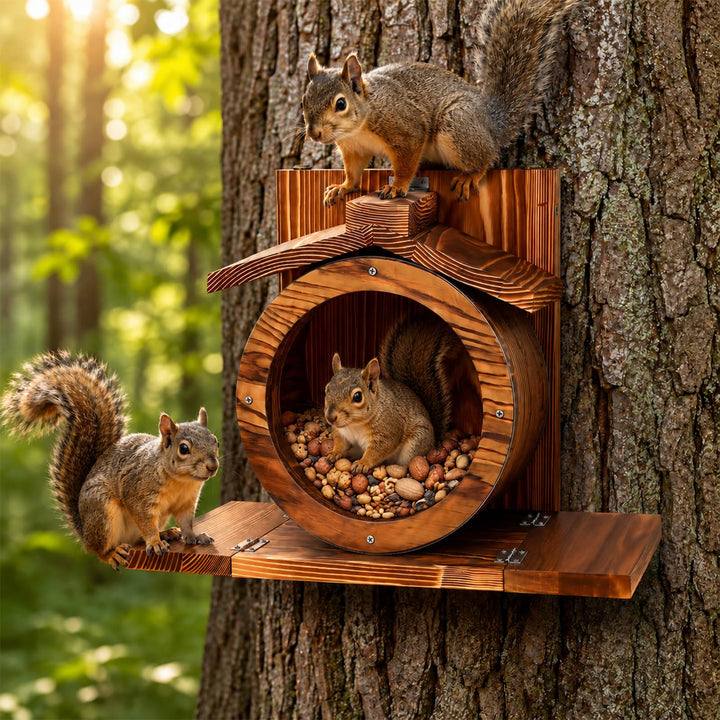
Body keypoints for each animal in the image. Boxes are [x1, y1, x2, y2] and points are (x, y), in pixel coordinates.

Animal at [1, 350, 219, 570]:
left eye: (216, 441)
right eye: (184, 448)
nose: (212, 466)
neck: (181, 481)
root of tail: (84, 532)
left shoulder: (187, 502)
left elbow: (187, 523)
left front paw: (195, 536)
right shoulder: (137, 492)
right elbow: (146, 522)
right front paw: (155, 542)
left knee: (136, 540)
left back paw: (167, 532)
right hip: (102, 513)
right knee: (99, 550)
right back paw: (114, 553)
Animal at [301, 0, 577, 206]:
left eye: (340, 104)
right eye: (304, 100)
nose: (314, 133)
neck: (360, 124)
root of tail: (491, 124)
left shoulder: (406, 130)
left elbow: (405, 165)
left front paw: (397, 187)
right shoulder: (353, 149)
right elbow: (353, 172)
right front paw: (342, 187)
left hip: (458, 124)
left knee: (486, 158)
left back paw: (470, 175)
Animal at [323, 314, 466, 473]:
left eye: (358, 397)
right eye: (326, 389)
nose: (330, 417)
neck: (355, 425)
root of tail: (434, 440)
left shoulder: (389, 431)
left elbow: (377, 451)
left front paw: (363, 463)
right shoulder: (342, 433)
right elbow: (340, 443)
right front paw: (333, 453)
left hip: (415, 444)